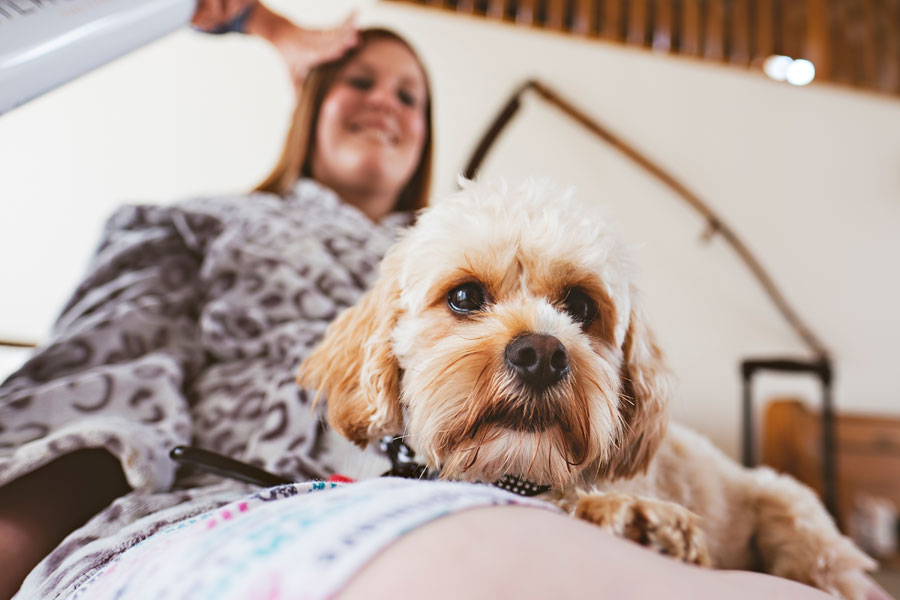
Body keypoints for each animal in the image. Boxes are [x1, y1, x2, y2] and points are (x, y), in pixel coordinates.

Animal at [298, 179, 876, 600]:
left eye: (580, 305)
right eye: (464, 296)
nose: (540, 354)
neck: (515, 471)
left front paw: (637, 520)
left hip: (796, 516)